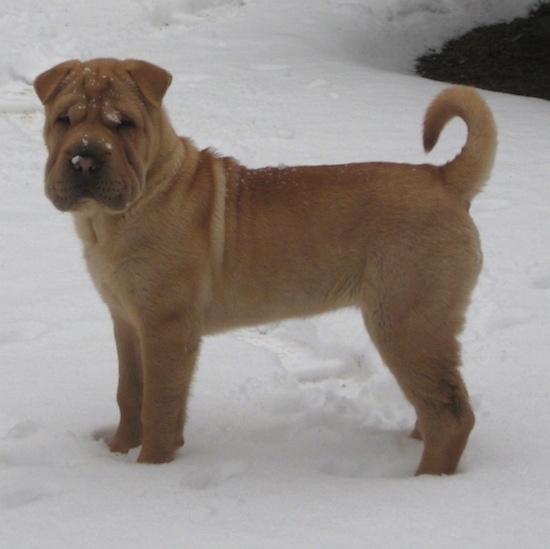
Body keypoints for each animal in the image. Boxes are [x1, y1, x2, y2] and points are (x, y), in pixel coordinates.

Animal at [35, 57, 500, 474]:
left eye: (123, 124)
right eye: (64, 120)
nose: (84, 160)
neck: (118, 214)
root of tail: (444, 179)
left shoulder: (167, 326)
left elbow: (160, 404)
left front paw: (150, 470)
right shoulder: (128, 320)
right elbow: (130, 393)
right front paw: (117, 453)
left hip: (406, 321)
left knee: (451, 415)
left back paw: (424, 482)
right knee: (435, 405)